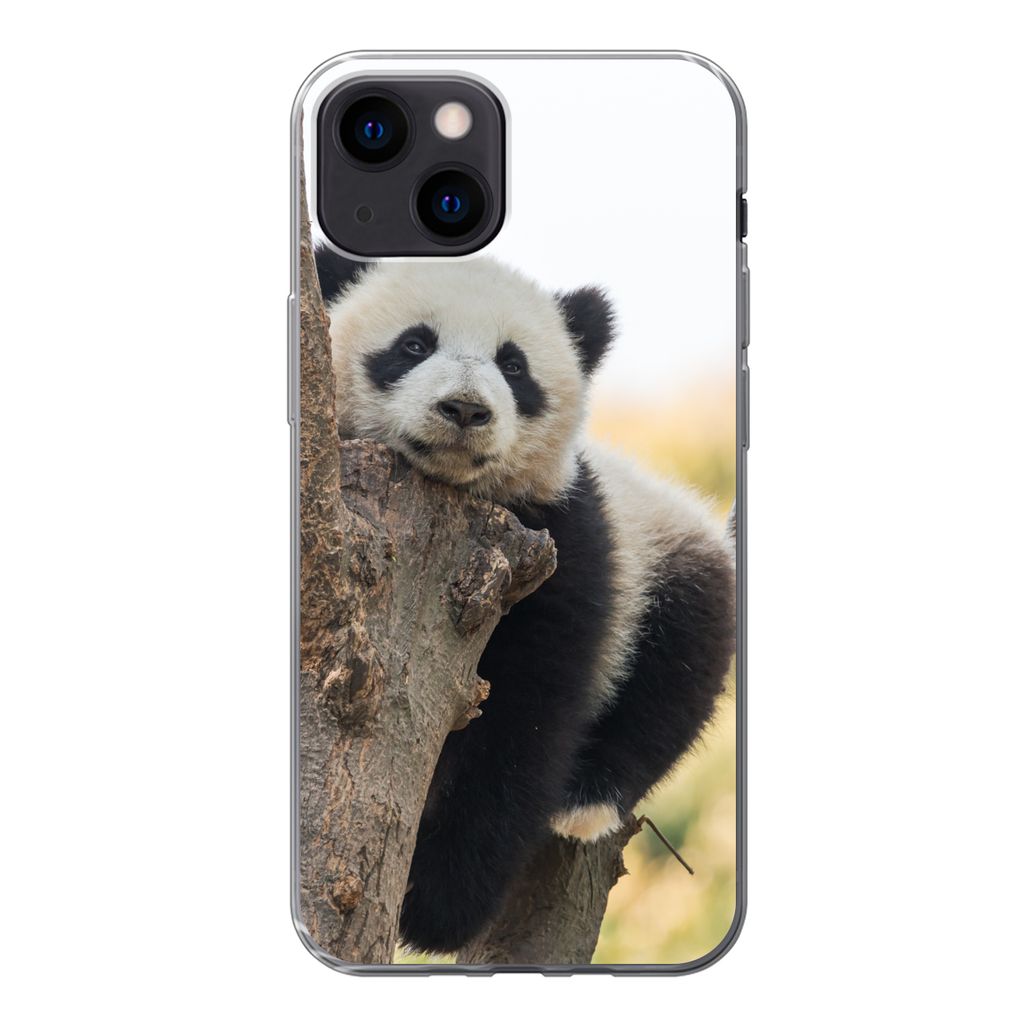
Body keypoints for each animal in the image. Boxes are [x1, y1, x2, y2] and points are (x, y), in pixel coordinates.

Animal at [315, 247, 736, 955]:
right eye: (413, 344)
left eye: (514, 366)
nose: (465, 410)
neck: (455, 493)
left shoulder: (561, 539)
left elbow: (527, 711)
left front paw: (434, 904)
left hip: (665, 553)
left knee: (677, 665)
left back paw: (587, 800)